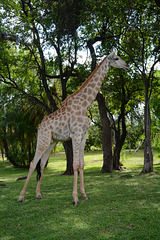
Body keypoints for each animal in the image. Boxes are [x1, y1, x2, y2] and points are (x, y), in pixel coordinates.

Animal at [18, 50, 129, 204]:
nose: (127, 66)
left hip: (51, 142)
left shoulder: (83, 135)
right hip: (43, 139)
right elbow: (75, 164)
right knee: (33, 163)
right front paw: (75, 197)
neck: (85, 104)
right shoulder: (75, 134)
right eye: (117, 58)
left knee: (41, 164)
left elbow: (81, 164)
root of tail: (39, 126)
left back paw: (38, 194)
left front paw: (84, 194)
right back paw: (21, 196)